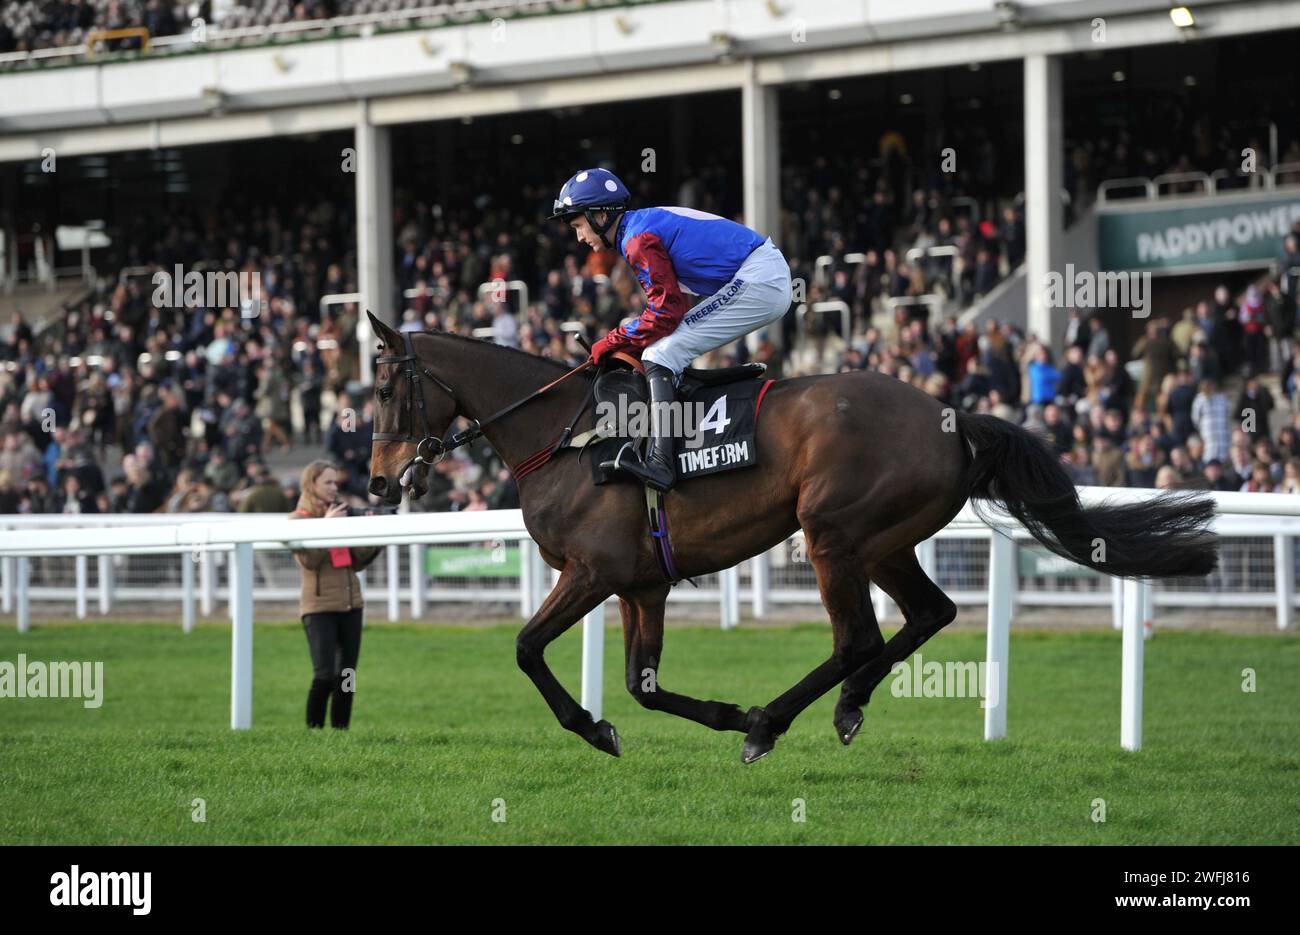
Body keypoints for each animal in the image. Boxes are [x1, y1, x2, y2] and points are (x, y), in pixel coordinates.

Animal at [366, 310, 1216, 764]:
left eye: (381, 387)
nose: (376, 483)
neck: (566, 436)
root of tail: (952, 416)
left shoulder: (593, 570)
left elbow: (525, 648)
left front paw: (596, 728)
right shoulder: (642, 581)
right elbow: (644, 685)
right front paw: (698, 715)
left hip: (831, 530)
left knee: (857, 636)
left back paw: (772, 722)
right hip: (883, 539)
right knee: (928, 613)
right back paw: (842, 706)